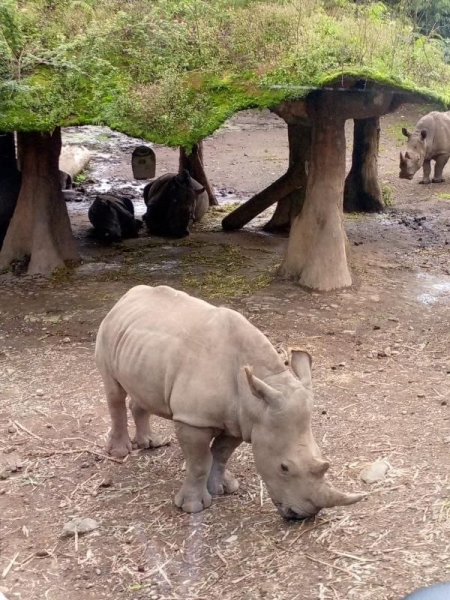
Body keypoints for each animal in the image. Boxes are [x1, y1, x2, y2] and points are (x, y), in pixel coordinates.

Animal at [95, 285, 364, 519]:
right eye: (284, 468)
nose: (304, 516)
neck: (258, 399)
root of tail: (125, 297)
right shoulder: (194, 420)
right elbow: (199, 461)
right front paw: (193, 507)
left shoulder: (242, 420)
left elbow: (221, 453)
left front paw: (224, 488)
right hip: (107, 330)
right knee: (114, 392)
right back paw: (120, 452)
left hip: (139, 343)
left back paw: (151, 444)